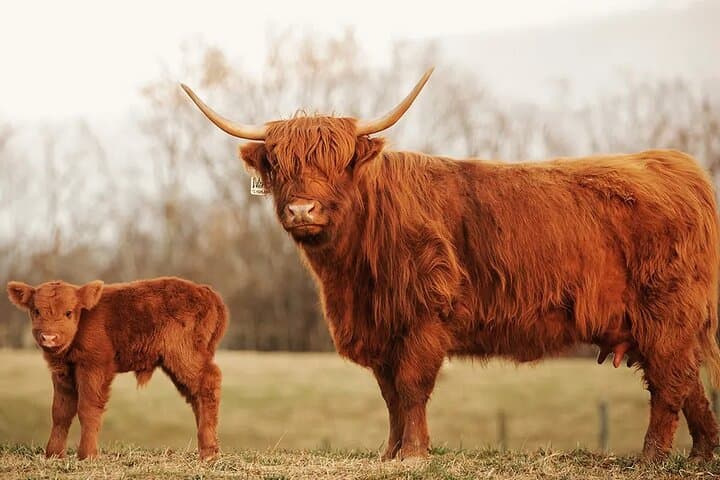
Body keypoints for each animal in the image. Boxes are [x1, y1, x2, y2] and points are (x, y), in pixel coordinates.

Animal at [6, 277, 228, 460]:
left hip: (185, 357)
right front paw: (53, 454)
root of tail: (205, 291)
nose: (49, 337)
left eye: (68, 312)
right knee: (196, 396)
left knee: (209, 383)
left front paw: (87, 455)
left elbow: (88, 409)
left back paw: (208, 452)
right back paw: (209, 448)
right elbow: (61, 411)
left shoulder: (95, 367)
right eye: (36, 311)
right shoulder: (63, 373)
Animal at [182, 69, 720, 462]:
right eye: (279, 166)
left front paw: (415, 454)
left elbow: (412, 386)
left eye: (340, 164)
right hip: (670, 325)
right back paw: (700, 455)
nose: (301, 210)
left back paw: (652, 458)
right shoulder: (382, 327)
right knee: (689, 382)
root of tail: (676, 166)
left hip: (666, 317)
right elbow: (390, 394)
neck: (352, 276)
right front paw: (391, 453)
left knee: (670, 384)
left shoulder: (425, 316)